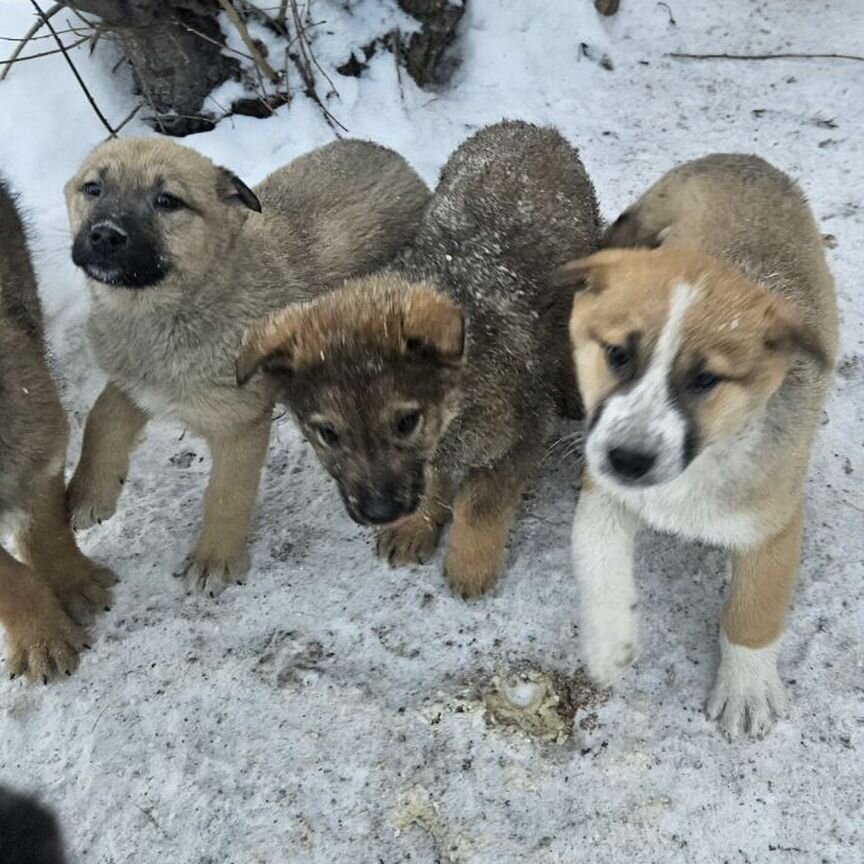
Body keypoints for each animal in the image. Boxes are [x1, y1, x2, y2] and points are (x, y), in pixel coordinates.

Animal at [66, 138, 430, 596]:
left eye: (167, 201)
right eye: (93, 188)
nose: (104, 234)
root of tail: (394, 158)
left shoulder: (239, 424)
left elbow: (226, 494)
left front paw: (215, 560)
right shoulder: (133, 385)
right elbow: (101, 421)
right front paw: (88, 495)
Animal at [236, 118, 600, 596]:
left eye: (405, 422)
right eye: (327, 433)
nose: (379, 512)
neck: (462, 395)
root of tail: (529, 127)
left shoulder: (518, 438)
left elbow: (481, 507)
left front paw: (469, 565)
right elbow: (434, 480)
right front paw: (418, 525)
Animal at [556, 154, 840, 736]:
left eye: (706, 380)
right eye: (617, 354)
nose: (628, 459)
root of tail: (739, 159)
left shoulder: (774, 523)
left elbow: (754, 609)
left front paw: (747, 687)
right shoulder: (603, 491)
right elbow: (597, 559)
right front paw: (609, 643)